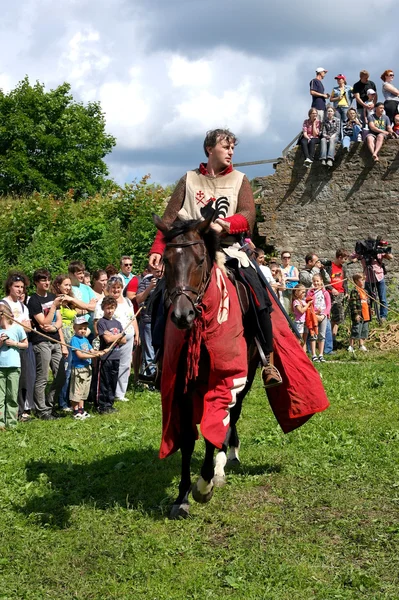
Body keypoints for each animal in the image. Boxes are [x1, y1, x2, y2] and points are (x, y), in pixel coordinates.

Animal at [153, 213, 260, 516]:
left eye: (200, 260)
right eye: (166, 261)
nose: (182, 315)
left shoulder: (225, 379)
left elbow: (216, 423)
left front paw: (204, 485)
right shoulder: (182, 385)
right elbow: (188, 437)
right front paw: (182, 497)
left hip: (247, 377)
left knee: (232, 415)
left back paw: (224, 463)